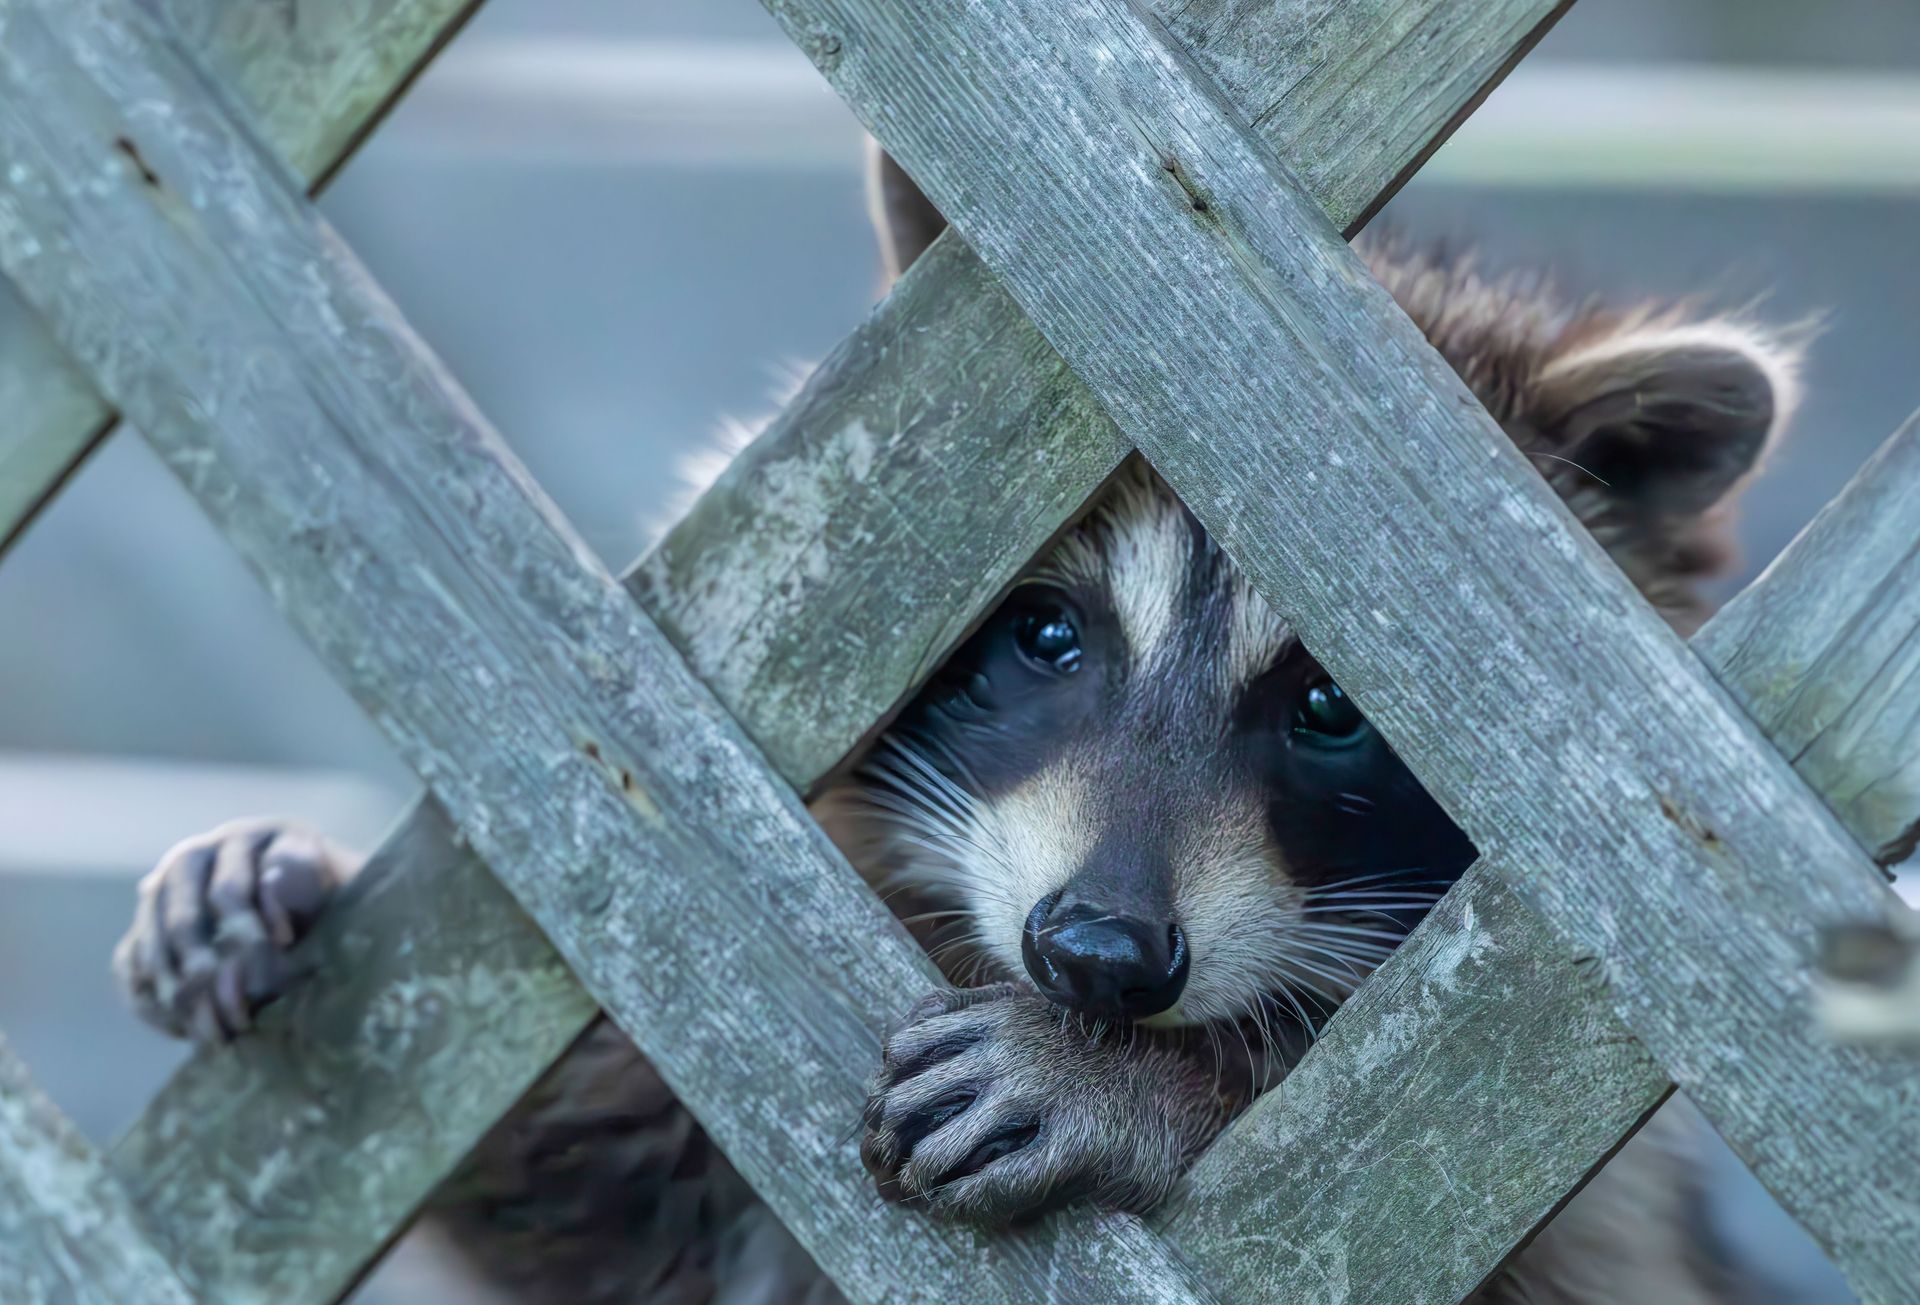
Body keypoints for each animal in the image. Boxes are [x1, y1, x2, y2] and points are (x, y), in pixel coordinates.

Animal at [113, 151, 1804, 1304]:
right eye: (1047, 636)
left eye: (1334, 705)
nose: (1099, 957)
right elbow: (549, 1199)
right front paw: (277, 876)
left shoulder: (1581, 1214)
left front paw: (1169, 1091)